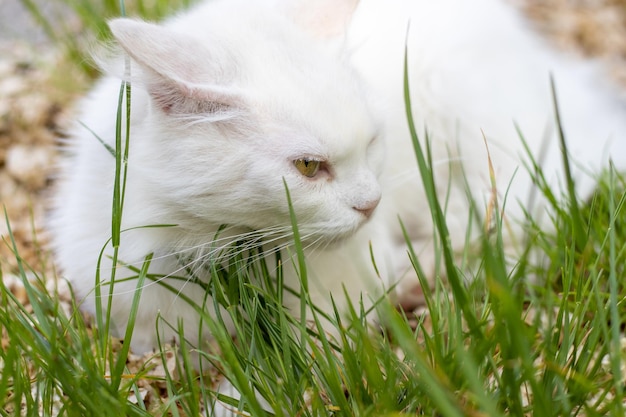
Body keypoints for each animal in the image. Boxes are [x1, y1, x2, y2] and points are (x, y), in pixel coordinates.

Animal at [50, 0, 624, 366]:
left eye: (372, 142)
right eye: (308, 166)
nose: (371, 205)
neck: (233, 253)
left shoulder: (337, 309)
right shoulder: (138, 310)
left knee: (514, 227)